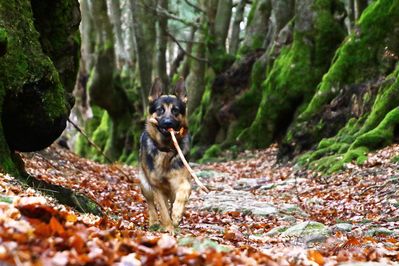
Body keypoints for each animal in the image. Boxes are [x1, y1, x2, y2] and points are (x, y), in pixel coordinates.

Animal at [140, 77, 191, 233]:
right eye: (160, 110)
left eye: (175, 110)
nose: (168, 123)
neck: (166, 149)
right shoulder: (157, 187)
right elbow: (162, 210)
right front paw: (168, 227)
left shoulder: (181, 181)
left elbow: (184, 191)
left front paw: (177, 214)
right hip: (145, 185)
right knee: (151, 204)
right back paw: (154, 223)